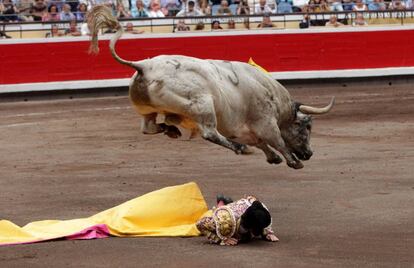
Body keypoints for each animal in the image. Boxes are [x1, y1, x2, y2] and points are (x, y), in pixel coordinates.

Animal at [86, 5, 334, 170]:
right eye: (307, 126)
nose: (309, 153)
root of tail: (143, 65)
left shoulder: (239, 127)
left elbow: (260, 141)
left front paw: (272, 157)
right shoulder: (265, 122)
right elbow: (276, 140)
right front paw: (292, 161)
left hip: (147, 110)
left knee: (148, 127)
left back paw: (172, 130)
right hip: (203, 104)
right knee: (209, 132)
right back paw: (238, 148)